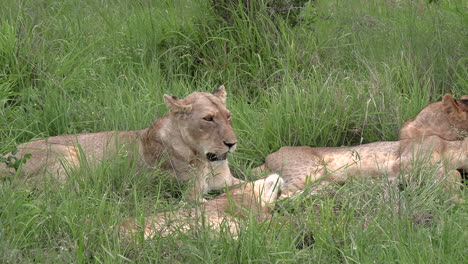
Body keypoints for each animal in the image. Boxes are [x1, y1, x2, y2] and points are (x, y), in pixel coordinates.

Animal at [2, 86, 245, 200]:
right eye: (208, 119)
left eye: (228, 116)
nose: (232, 143)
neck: (207, 160)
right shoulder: (190, 195)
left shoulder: (228, 181)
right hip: (66, 153)